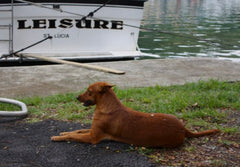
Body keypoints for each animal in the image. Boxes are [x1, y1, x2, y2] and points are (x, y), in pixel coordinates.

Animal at [51, 81, 220, 148]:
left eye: (88, 91)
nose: (76, 97)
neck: (107, 107)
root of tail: (183, 128)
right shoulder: (92, 130)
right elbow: (77, 130)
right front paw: (63, 132)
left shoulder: (93, 137)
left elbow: (73, 136)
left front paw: (58, 137)